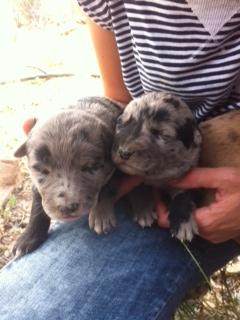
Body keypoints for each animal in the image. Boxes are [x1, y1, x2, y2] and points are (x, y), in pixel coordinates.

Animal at [111, 91, 202, 241]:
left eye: (161, 134)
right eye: (122, 124)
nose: (123, 152)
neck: (156, 173)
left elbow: (184, 192)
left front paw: (183, 221)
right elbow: (137, 186)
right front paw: (143, 208)